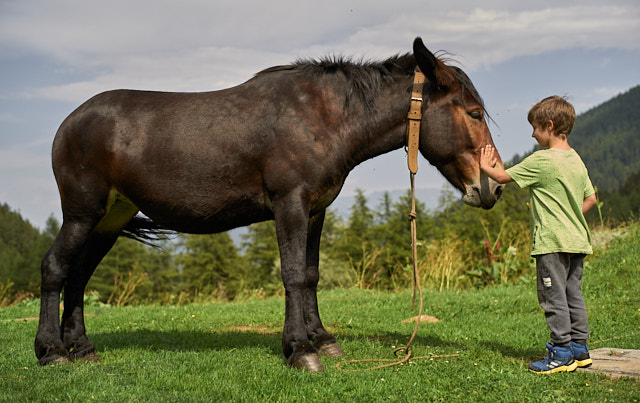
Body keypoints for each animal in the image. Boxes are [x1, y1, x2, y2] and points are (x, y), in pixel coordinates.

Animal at [35, 37, 504, 372]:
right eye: (474, 113)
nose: (493, 188)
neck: (325, 117)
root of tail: (68, 123)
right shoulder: (289, 204)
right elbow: (292, 274)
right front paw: (299, 350)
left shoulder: (316, 210)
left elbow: (311, 276)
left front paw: (323, 340)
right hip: (82, 213)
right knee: (56, 268)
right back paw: (51, 351)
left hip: (110, 219)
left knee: (78, 276)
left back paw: (81, 347)